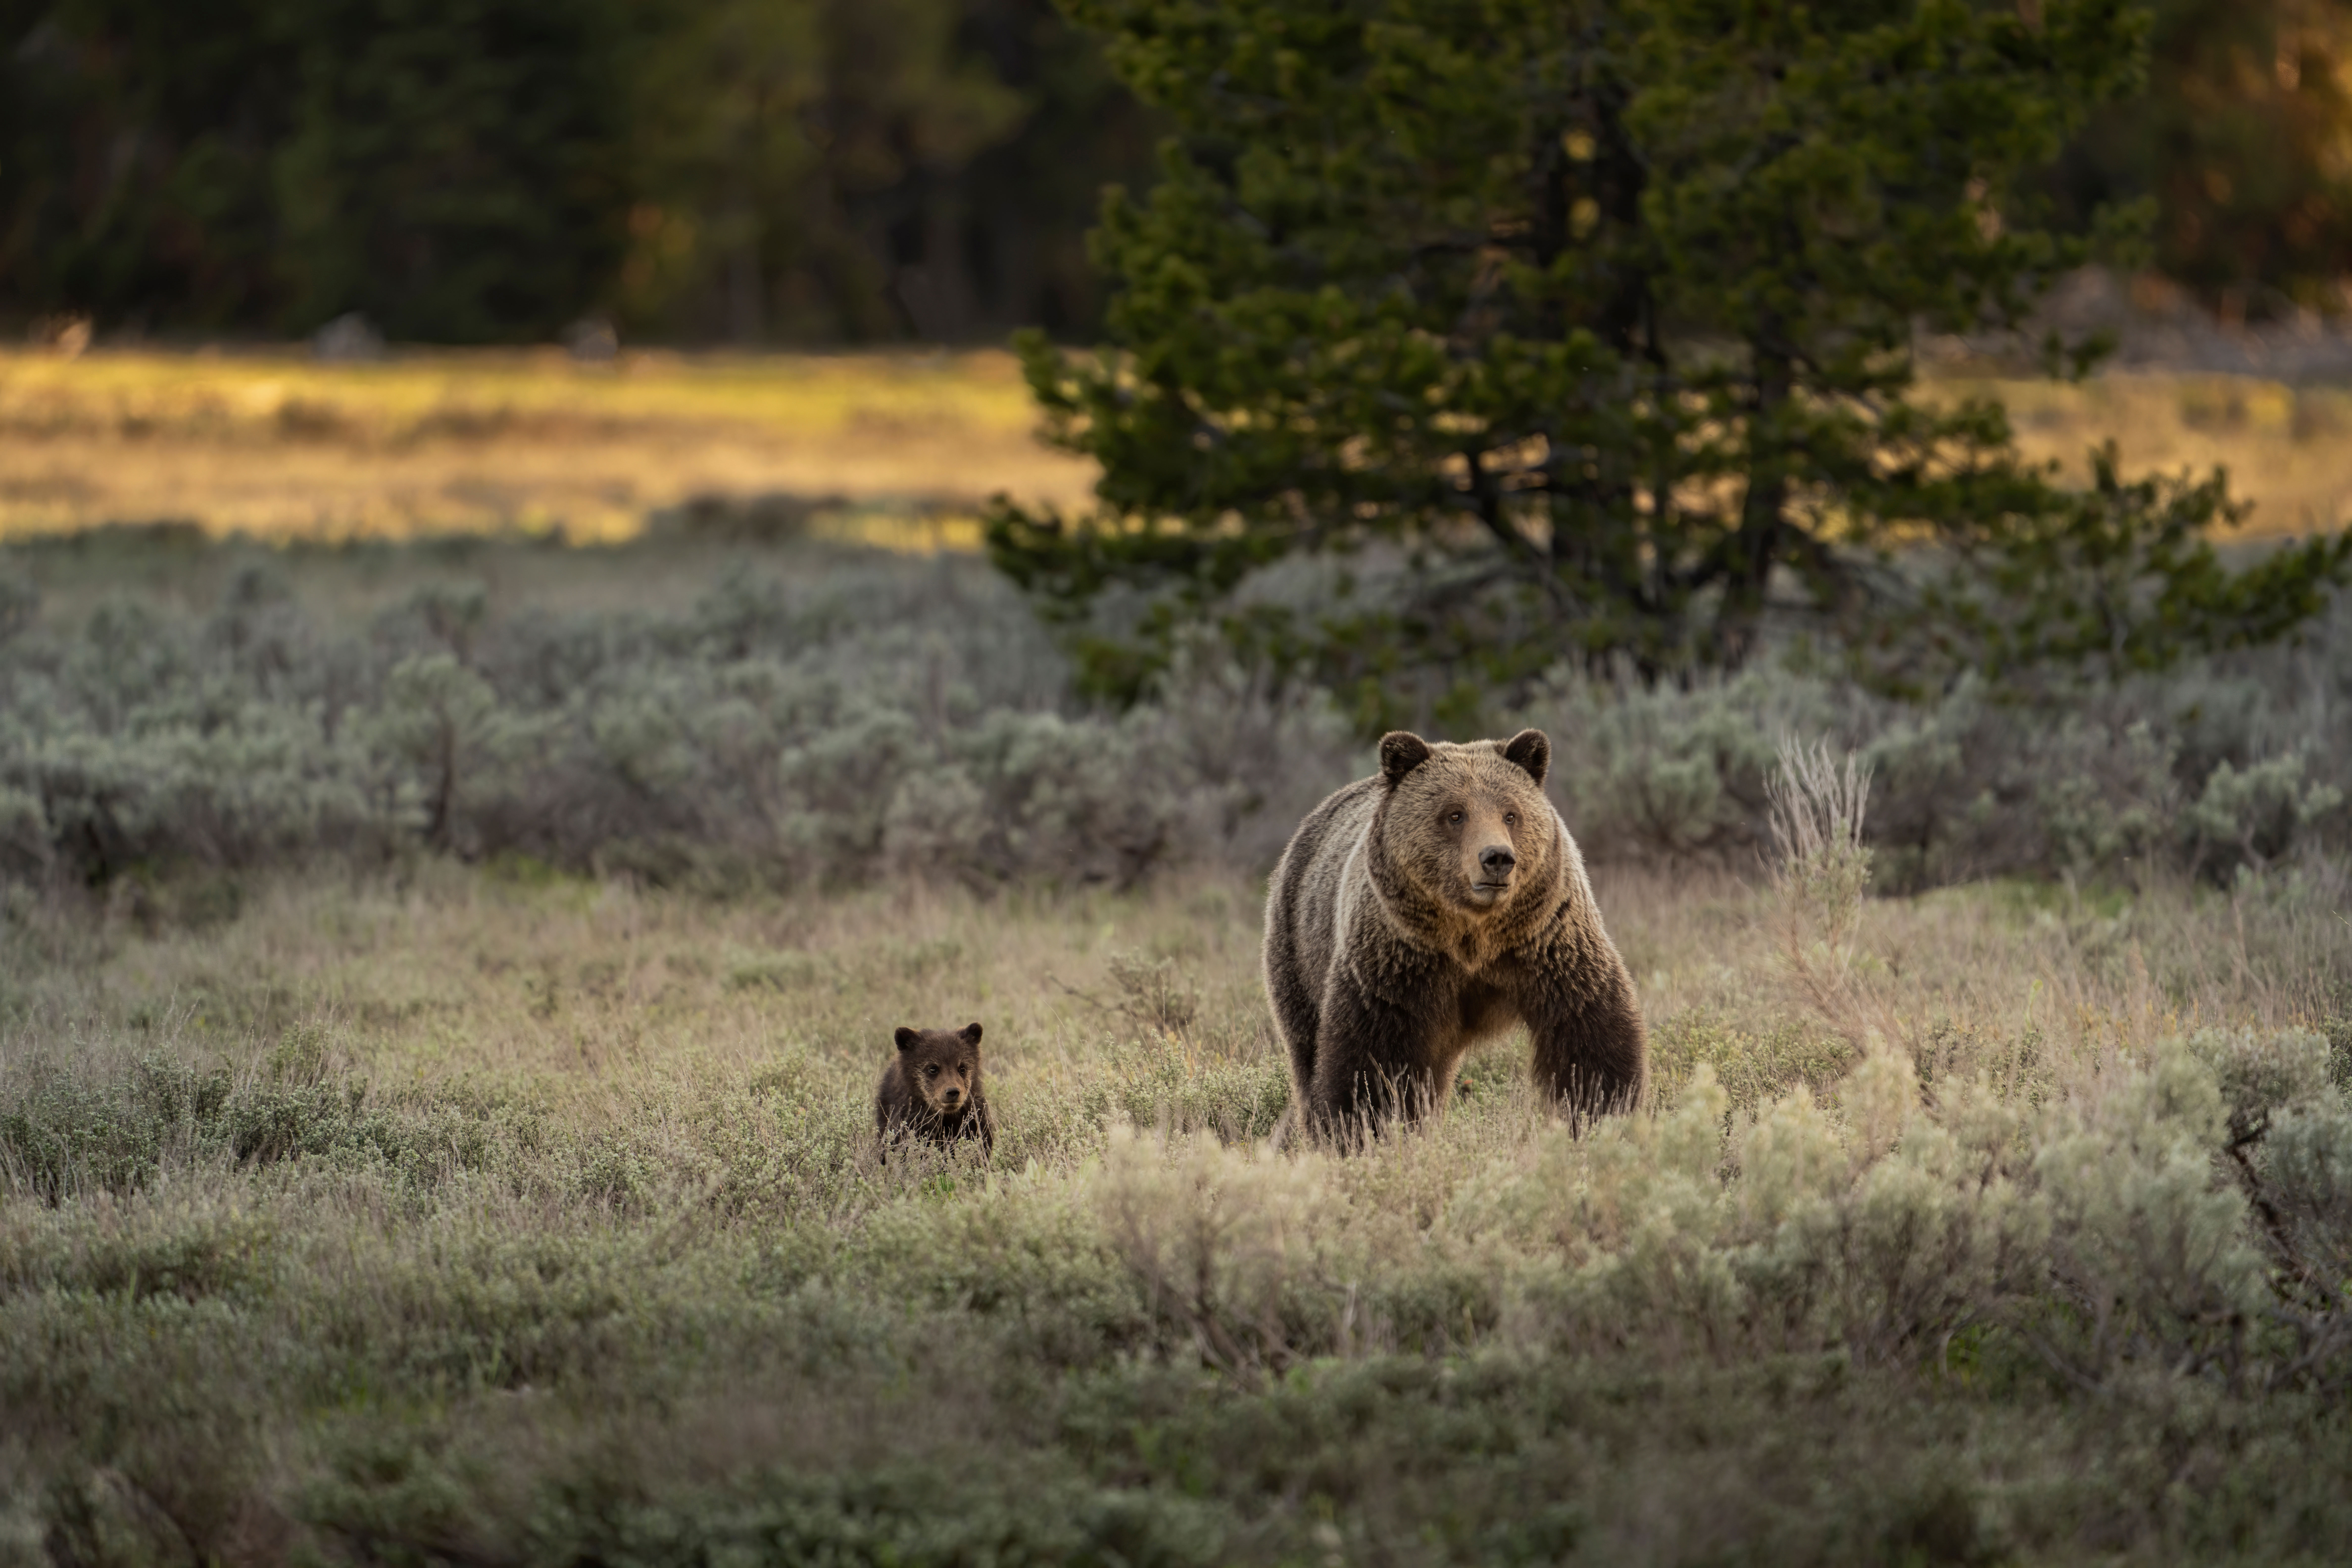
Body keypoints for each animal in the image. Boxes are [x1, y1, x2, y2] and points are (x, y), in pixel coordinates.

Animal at [1262, 728, 1645, 1144]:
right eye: (1455, 814)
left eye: (1511, 814)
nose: (1497, 858)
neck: (1473, 935)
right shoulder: (1397, 963)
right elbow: (1370, 1061)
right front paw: (1363, 1132)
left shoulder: (1548, 943)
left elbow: (1590, 1035)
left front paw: (1603, 1114)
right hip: (1297, 946)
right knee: (1306, 1049)